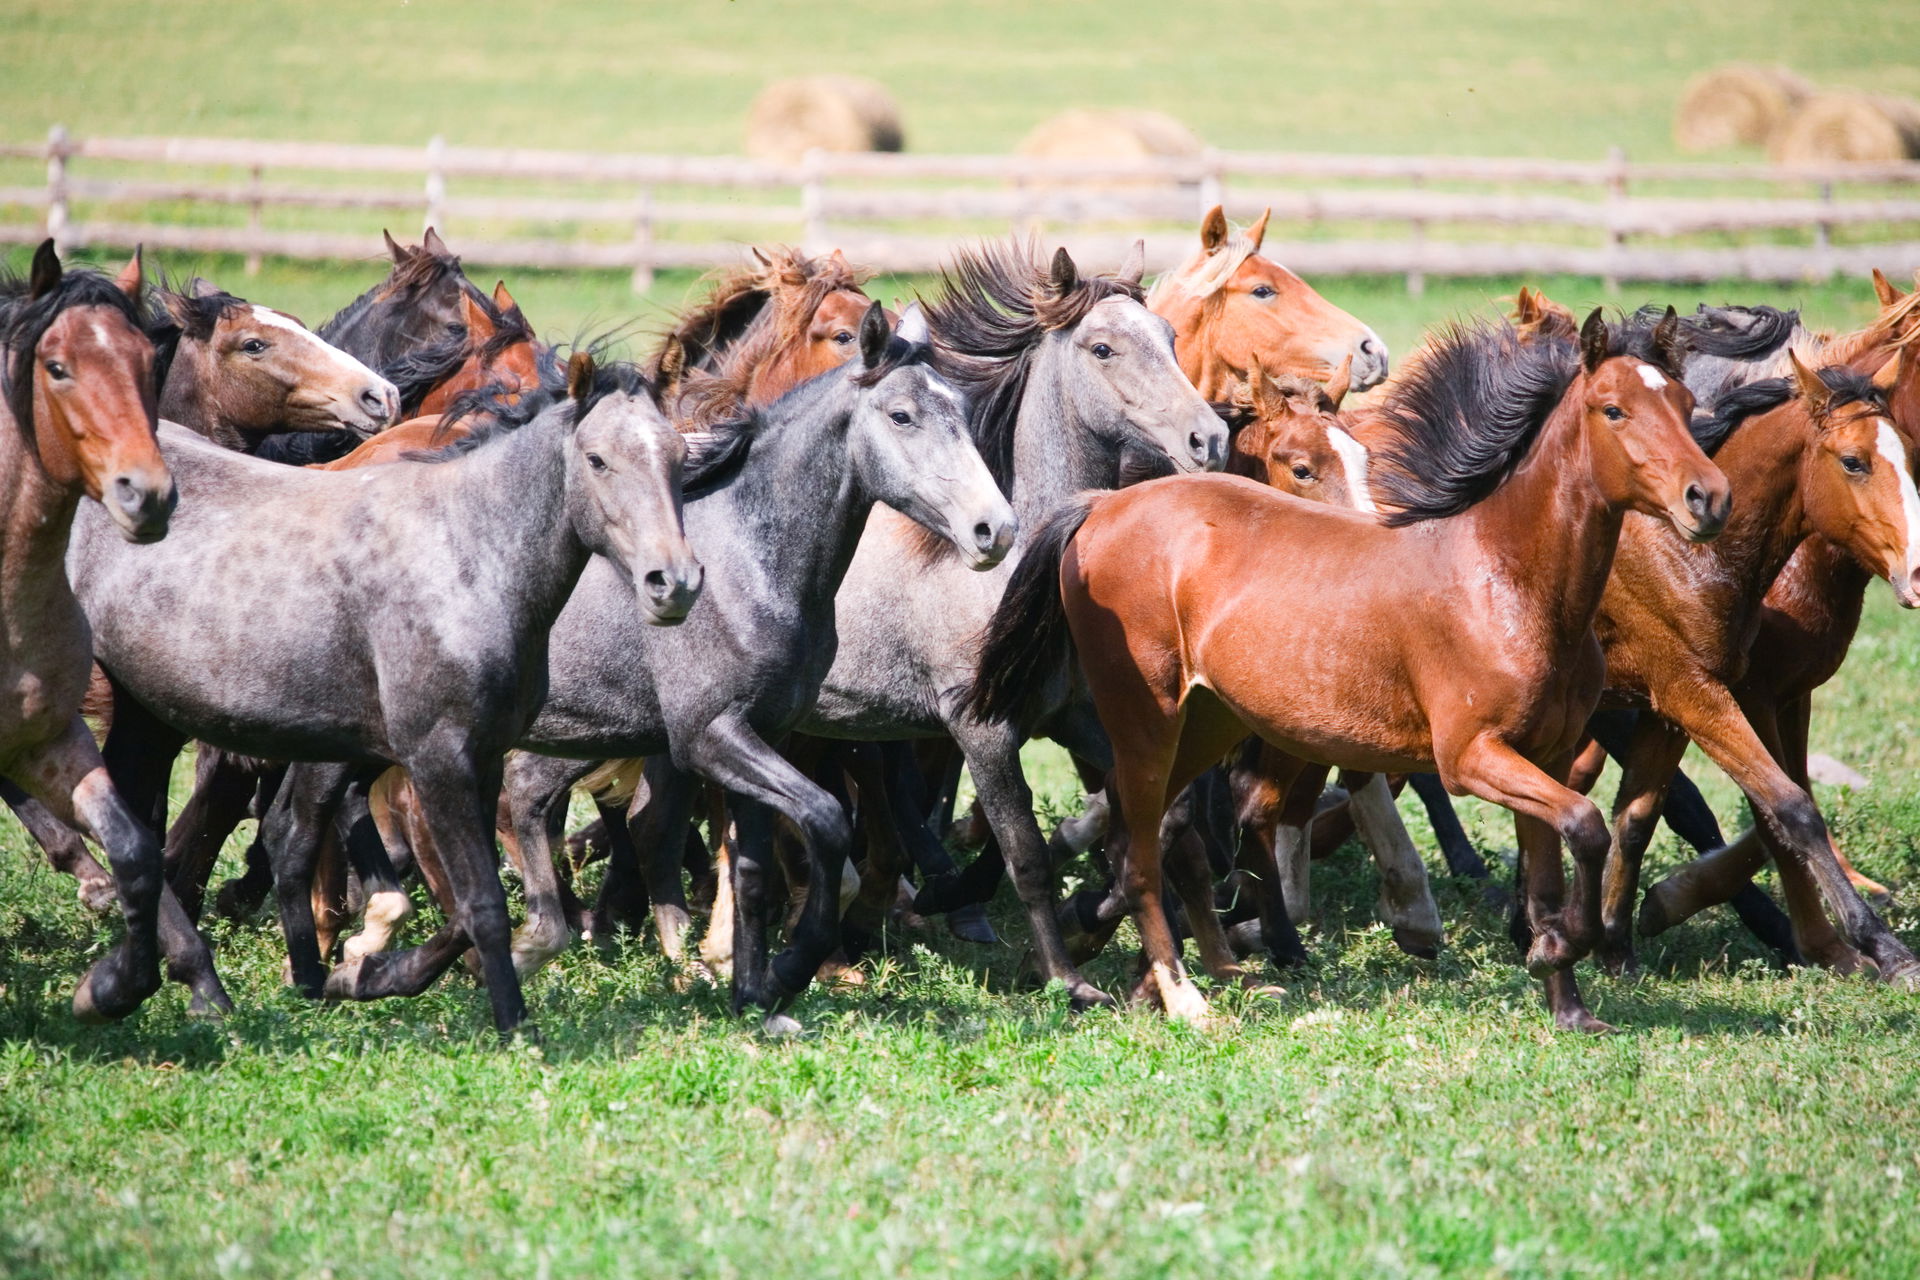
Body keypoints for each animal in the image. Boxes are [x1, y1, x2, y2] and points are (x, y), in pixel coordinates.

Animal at [0, 241, 229, 1022]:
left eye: (143, 361)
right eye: (56, 367)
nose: (147, 494)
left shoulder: (50, 738)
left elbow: (135, 849)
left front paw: (112, 986)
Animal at [66, 352, 702, 1037]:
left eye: (677, 455)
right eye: (597, 460)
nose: (674, 583)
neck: (466, 559)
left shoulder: (480, 759)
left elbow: (465, 906)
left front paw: (362, 976)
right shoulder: (436, 759)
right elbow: (482, 901)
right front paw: (512, 1022)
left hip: (147, 712)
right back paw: (146, 985)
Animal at [968, 310, 1731, 1029]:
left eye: (1687, 403)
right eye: (1614, 409)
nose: (1709, 497)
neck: (1508, 580)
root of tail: (1105, 506)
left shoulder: (1543, 755)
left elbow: (1552, 874)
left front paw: (1568, 1001)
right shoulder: (1471, 757)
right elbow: (1588, 824)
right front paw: (1555, 951)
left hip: (1206, 724)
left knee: (1143, 840)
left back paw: (1162, 980)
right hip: (1145, 725)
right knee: (1141, 858)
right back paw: (1186, 999)